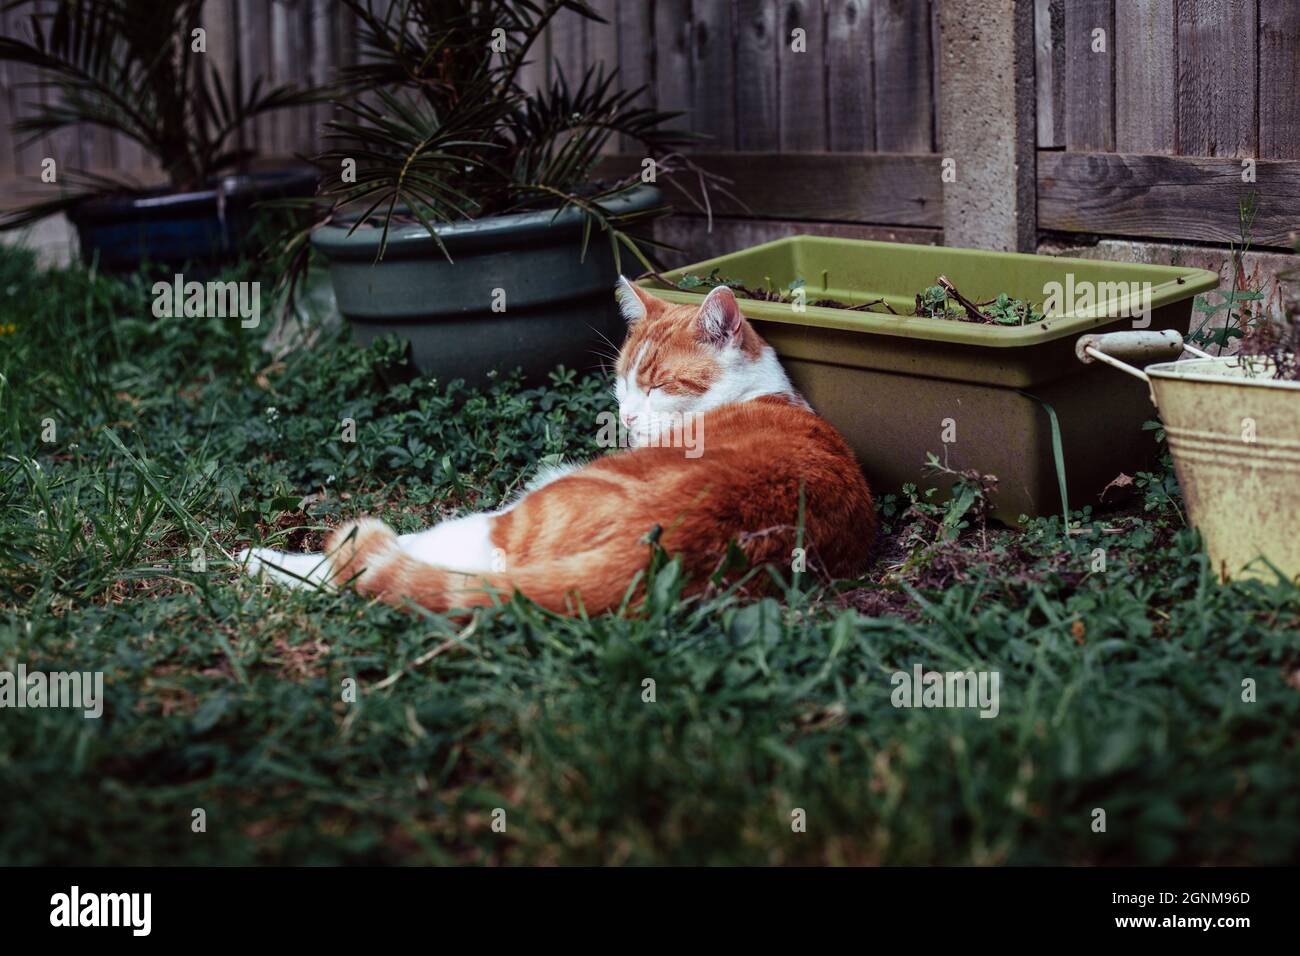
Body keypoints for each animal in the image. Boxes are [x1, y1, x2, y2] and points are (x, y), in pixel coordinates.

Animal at [240, 280, 878, 616]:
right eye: (622, 381)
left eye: (657, 384)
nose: (626, 414)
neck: (755, 393)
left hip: (494, 522)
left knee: (363, 566)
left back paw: (258, 560)